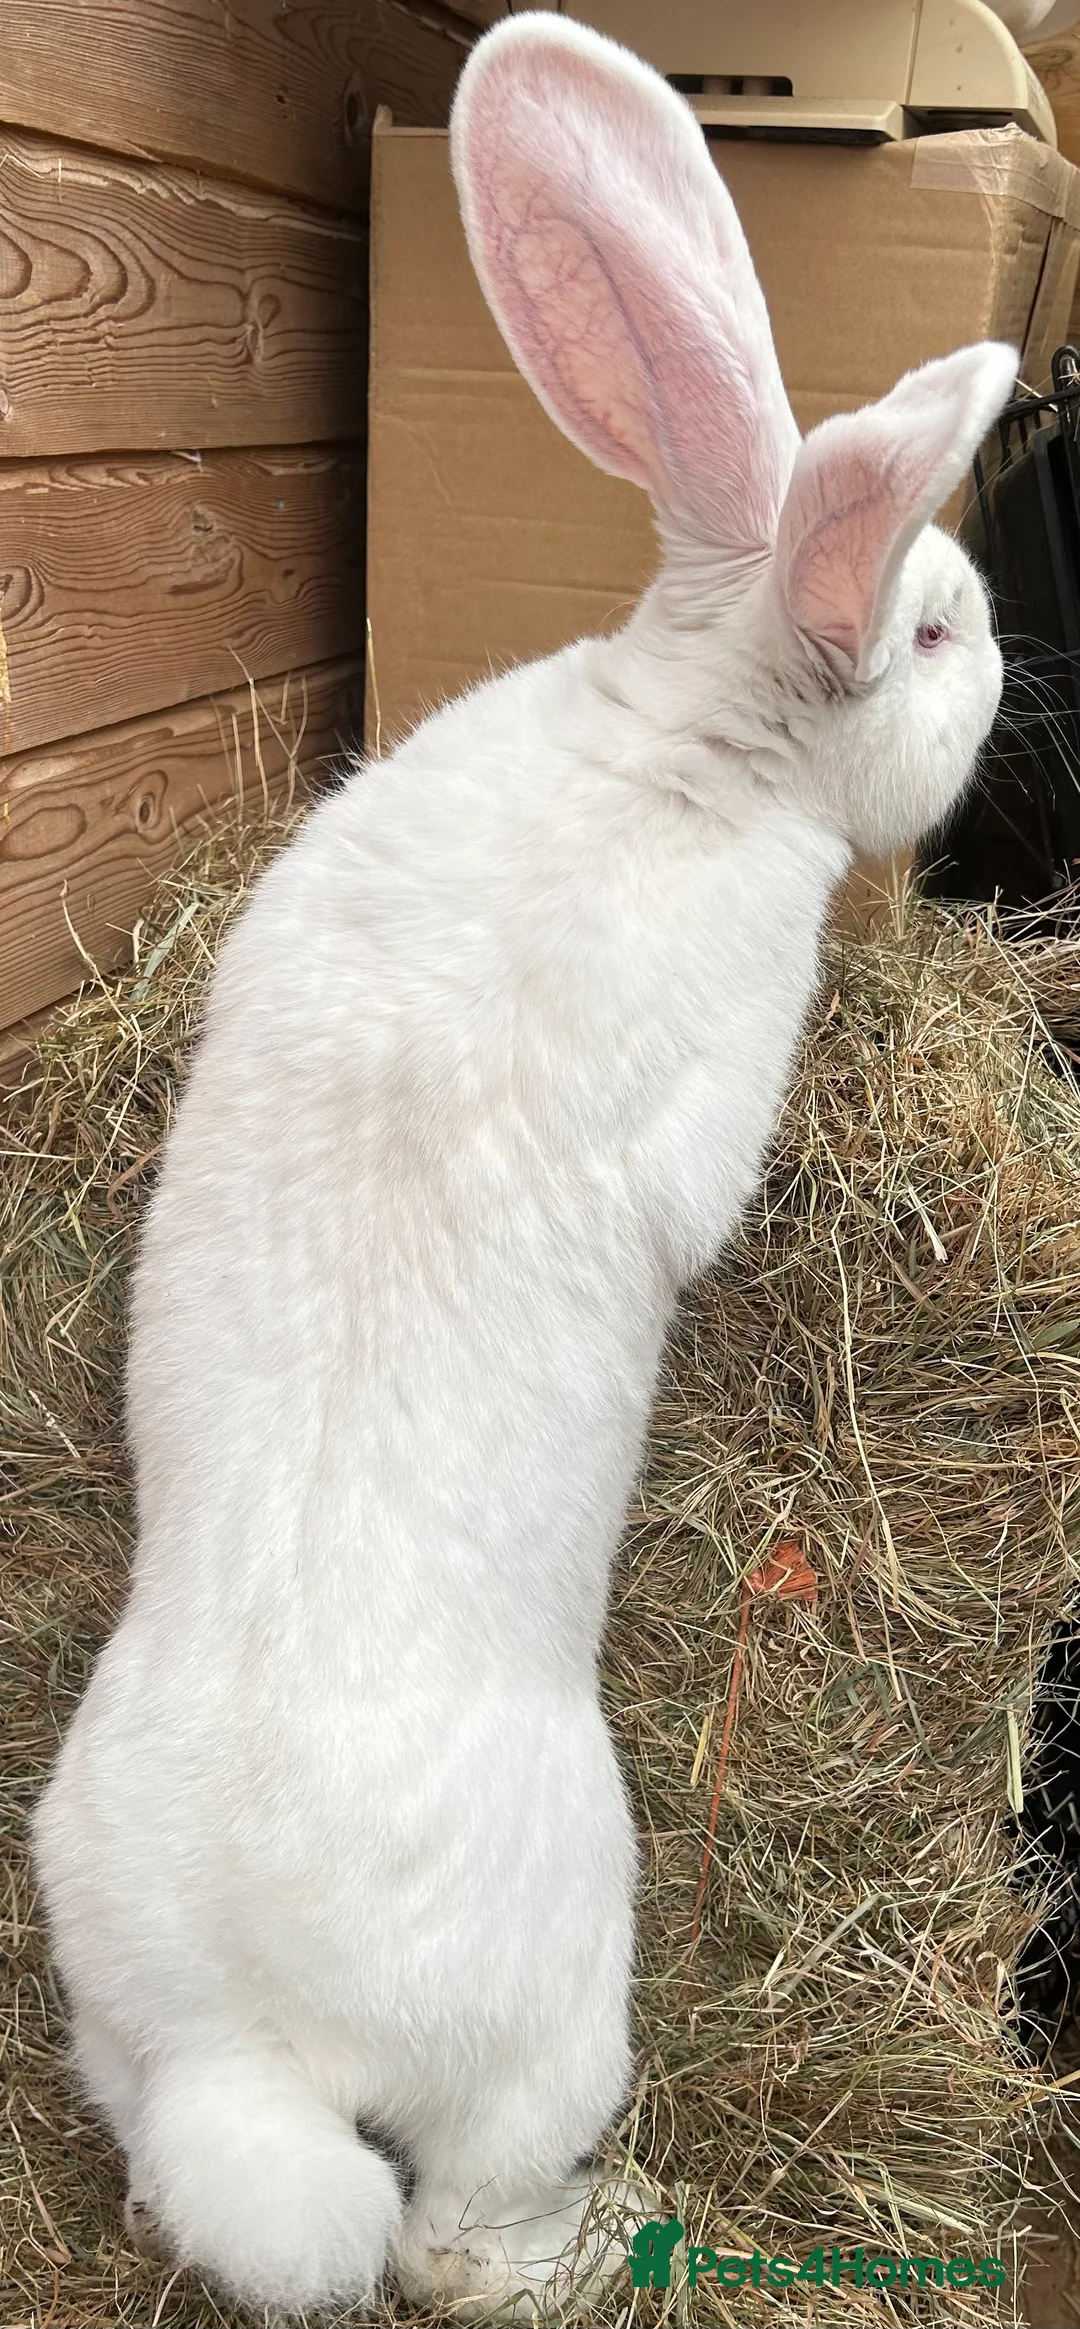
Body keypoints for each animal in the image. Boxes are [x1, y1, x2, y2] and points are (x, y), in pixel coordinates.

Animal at [32, 10, 1016, 2322]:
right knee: (452, 2226)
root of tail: (248, 2041)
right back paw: (590, 2237)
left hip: (105, 1977)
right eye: (934, 635)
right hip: (550, 2018)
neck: (694, 735)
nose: (1016, 648)